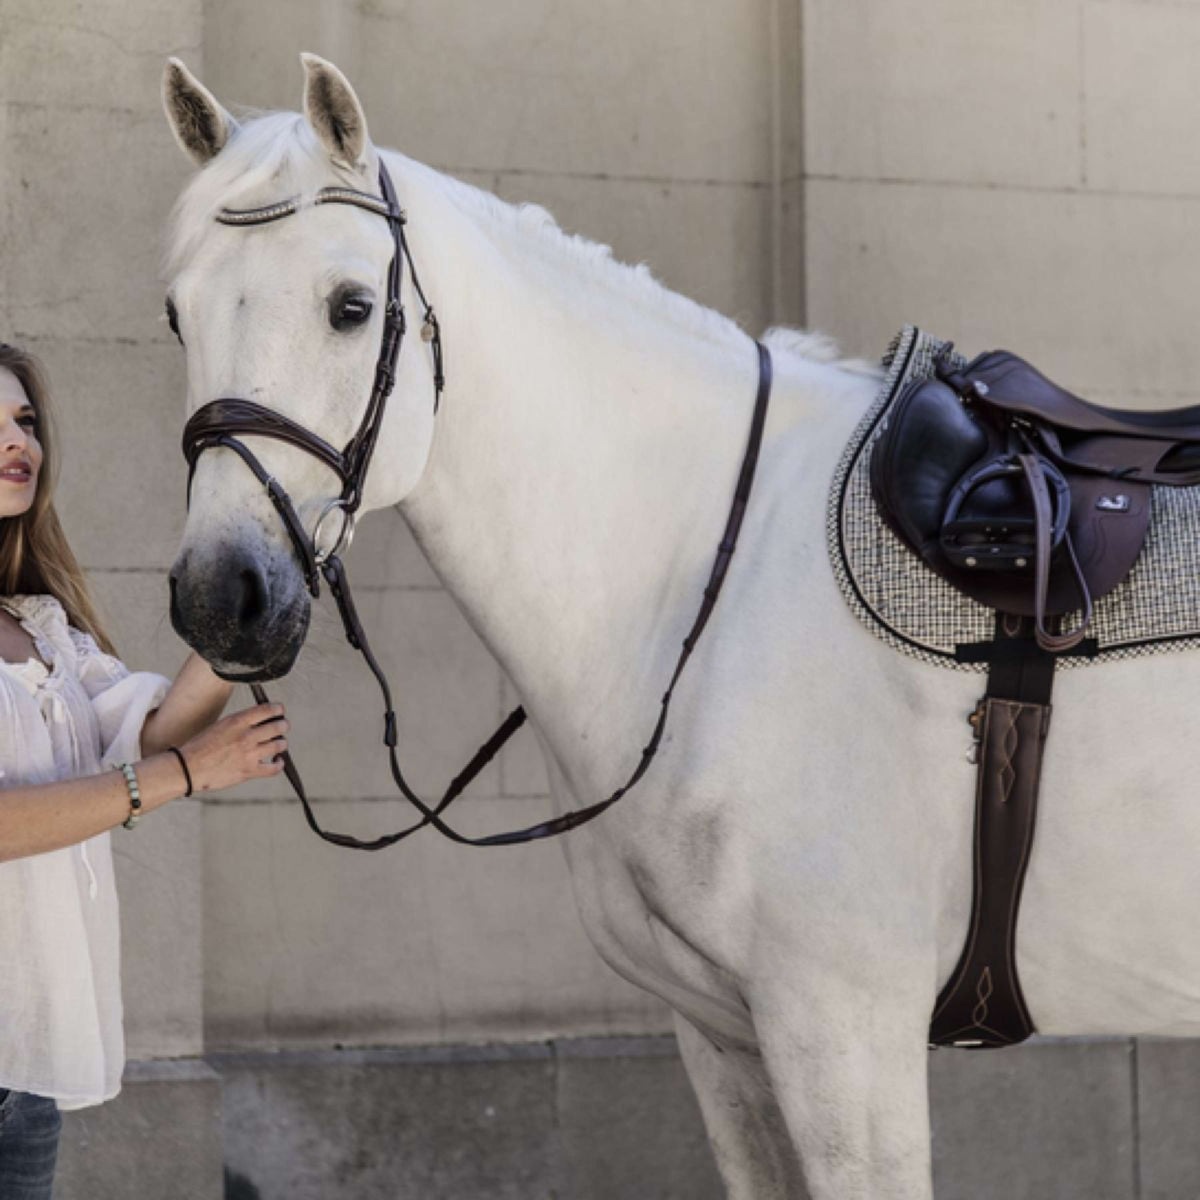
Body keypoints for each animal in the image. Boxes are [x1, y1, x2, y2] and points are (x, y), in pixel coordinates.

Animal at [159, 54, 1200, 1200]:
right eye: (176, 315)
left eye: (349, 307)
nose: (220, 596)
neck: (710, 581)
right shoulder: (724, 1038)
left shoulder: (845, 1032)